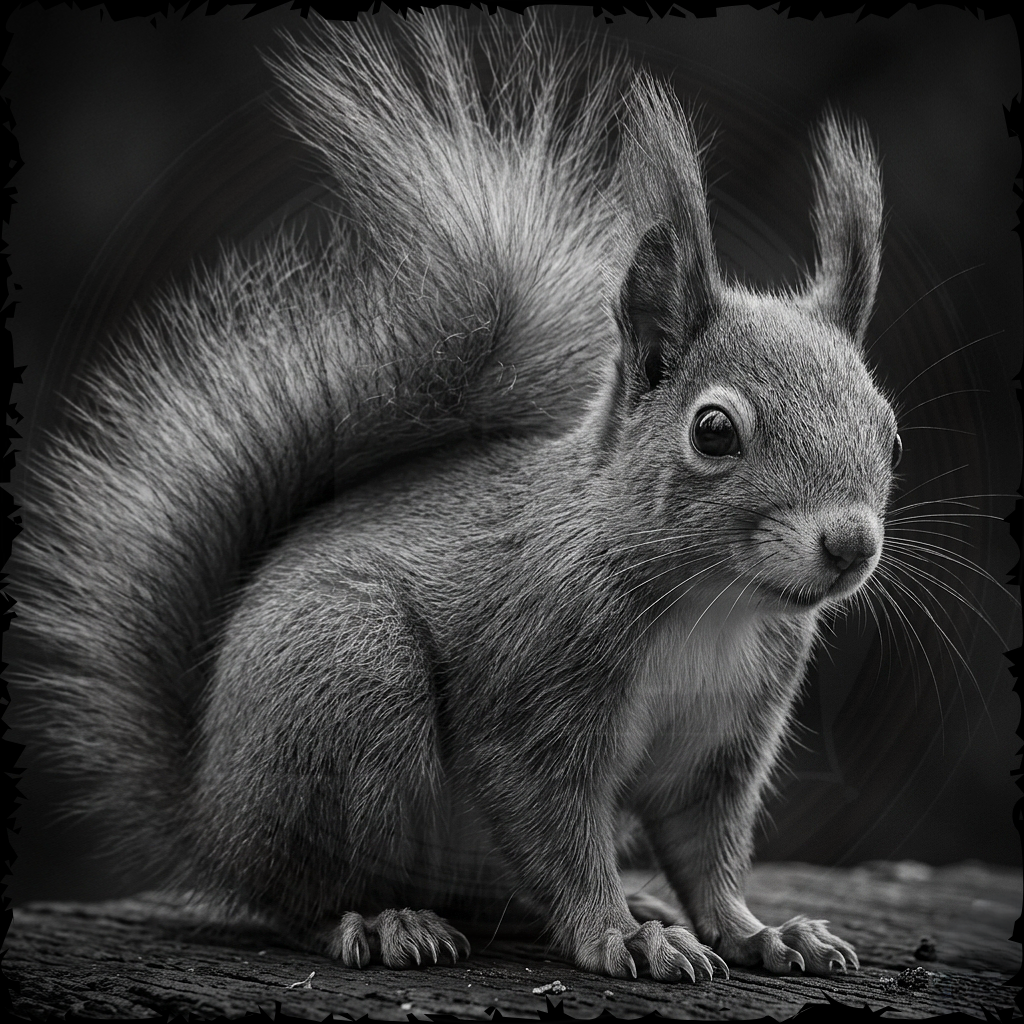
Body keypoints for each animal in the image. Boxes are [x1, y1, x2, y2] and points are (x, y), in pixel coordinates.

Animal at [18, 11, 897, 982]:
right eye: (713, 431)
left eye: (890, 432)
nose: (851, 544)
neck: (712, 607)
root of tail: (210, 817)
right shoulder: (529, 698)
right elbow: (556, 829)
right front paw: (617, 933)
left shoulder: (725, 744)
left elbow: (709, 853)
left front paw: (757, 931)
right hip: (349, 683)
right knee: (300, 897)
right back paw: (382, 922)